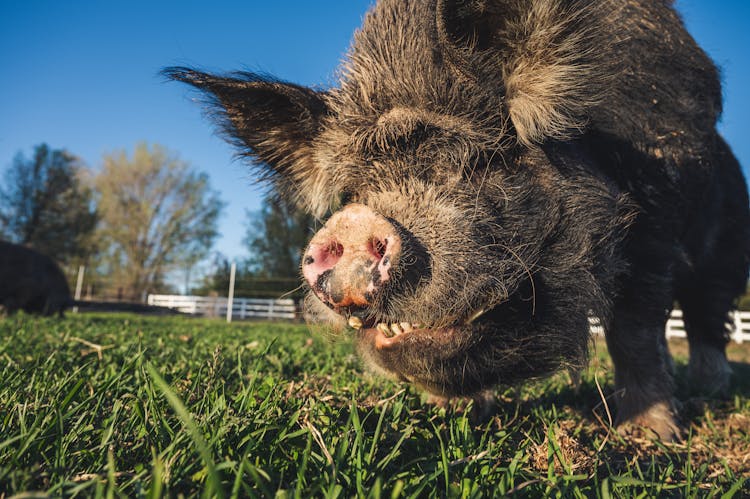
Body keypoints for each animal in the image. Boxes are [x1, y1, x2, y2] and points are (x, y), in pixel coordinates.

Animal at [166, 0, 750, 440]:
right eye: (352, 192)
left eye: (473, 161)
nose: (351, 223)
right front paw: (445, 414)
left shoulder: (655, 228)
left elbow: (634, 329)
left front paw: (650, 435)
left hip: (725, 253)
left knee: (707, 317)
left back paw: (710, 389)